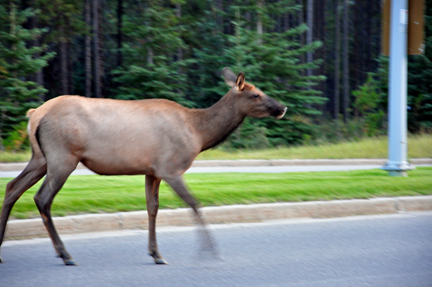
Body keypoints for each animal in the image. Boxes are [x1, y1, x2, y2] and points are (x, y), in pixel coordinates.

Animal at [0, 67, 286, 266]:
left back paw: (4, 251)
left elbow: (152, 208)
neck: (198, 134)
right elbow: (194, 204)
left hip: (40, 158)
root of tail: (34, 114)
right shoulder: (171, 167)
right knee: (42, 198)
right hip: (63, 157)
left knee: (12, 187)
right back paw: (65, 254)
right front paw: (210, 252)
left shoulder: (153, 170)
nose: (282, 107)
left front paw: (156, 254)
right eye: (256, 94)